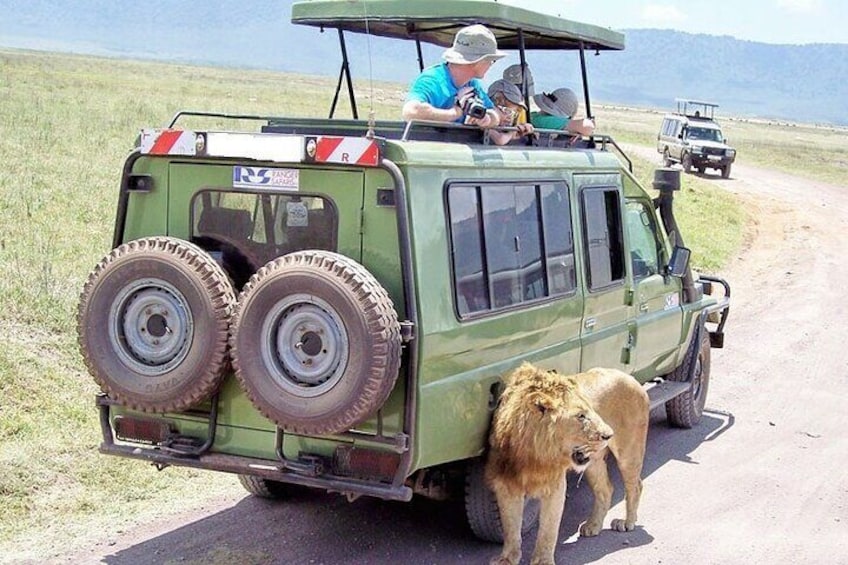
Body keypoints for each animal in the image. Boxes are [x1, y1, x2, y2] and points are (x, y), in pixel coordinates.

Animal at [485, 363, 650, 565]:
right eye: (581, 416)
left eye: (590, 410)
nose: (609, 435)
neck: (533, 454)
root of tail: (630, 378)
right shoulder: (506, 483)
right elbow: (510, 526)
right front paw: (507, 559)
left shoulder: (554, 485)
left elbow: (548, 530)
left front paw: (543, 561)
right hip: (593, 463)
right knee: (606, 489)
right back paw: (593, 525)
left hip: (629, 451)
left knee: (636, 485)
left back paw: (627, 522)